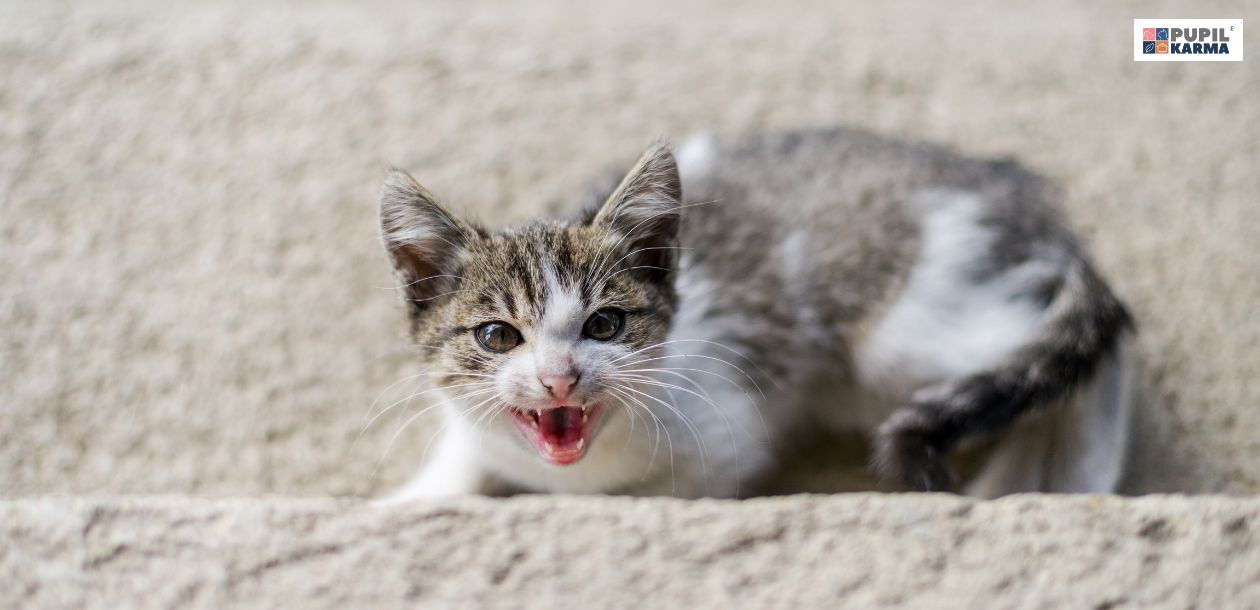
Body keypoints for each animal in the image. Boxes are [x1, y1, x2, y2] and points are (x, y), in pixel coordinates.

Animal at [372, 128, 1134, 501]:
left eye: (604, 326)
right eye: (497, 335)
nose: (560, 379)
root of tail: (1026, 198)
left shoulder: (725, 443)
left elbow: (661, 496)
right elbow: (460, 460)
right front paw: (408, 500)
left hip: (905, 329)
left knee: (1095, 345)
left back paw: (1059, 476)